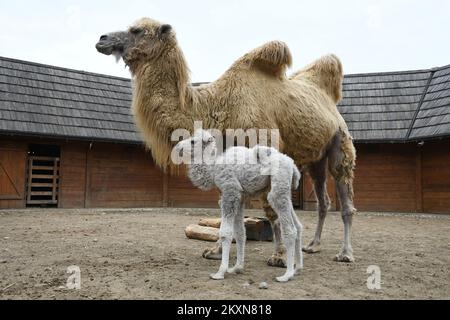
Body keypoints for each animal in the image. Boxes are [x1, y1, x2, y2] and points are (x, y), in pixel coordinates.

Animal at [96, 17, 356, 264]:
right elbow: (226, 209)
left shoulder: (266, 145)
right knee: (323, 200)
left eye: (137, 30)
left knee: (345, 197)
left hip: (340, 142)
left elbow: (270, 209)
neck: (217, 107)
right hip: (316, 158)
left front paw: (279, 256)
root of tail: (331, 102)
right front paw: (215, 251)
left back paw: (345, 253)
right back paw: (313, 245)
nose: (102, 38)